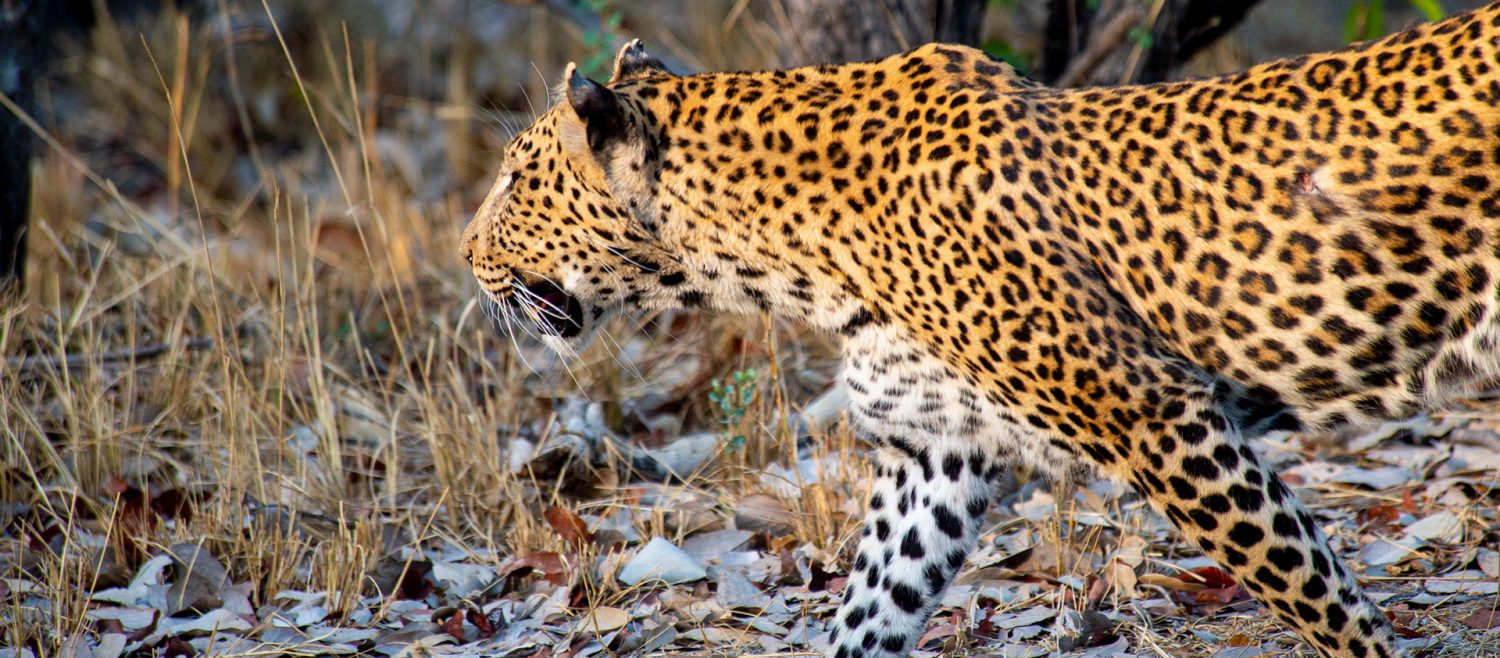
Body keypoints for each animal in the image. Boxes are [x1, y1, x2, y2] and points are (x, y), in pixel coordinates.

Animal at [460, 5, 1500, 657]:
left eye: (514, 179)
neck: (779, 260)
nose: (465, 253)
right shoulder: (937, 451)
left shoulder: (1161, 419)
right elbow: (869, 611)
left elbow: (1319, 595)